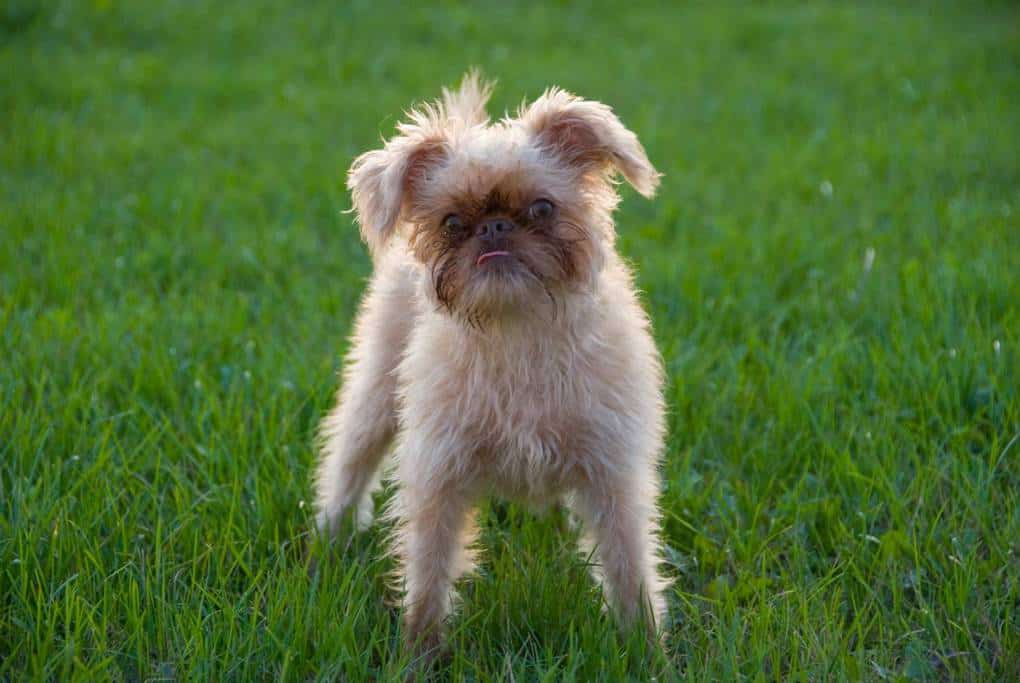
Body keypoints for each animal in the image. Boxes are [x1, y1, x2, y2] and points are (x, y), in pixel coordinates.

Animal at [316, 72, 669, 656]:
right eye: (453, 222)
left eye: (543, 208)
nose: (495, 228)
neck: (516, 330)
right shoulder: (438, 474)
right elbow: (429, 573)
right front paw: (418, 654)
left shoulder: (613, 473)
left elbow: (629, 566)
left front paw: (647, 651)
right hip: (376, 393)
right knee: (350, 462)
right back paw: (328, 538)